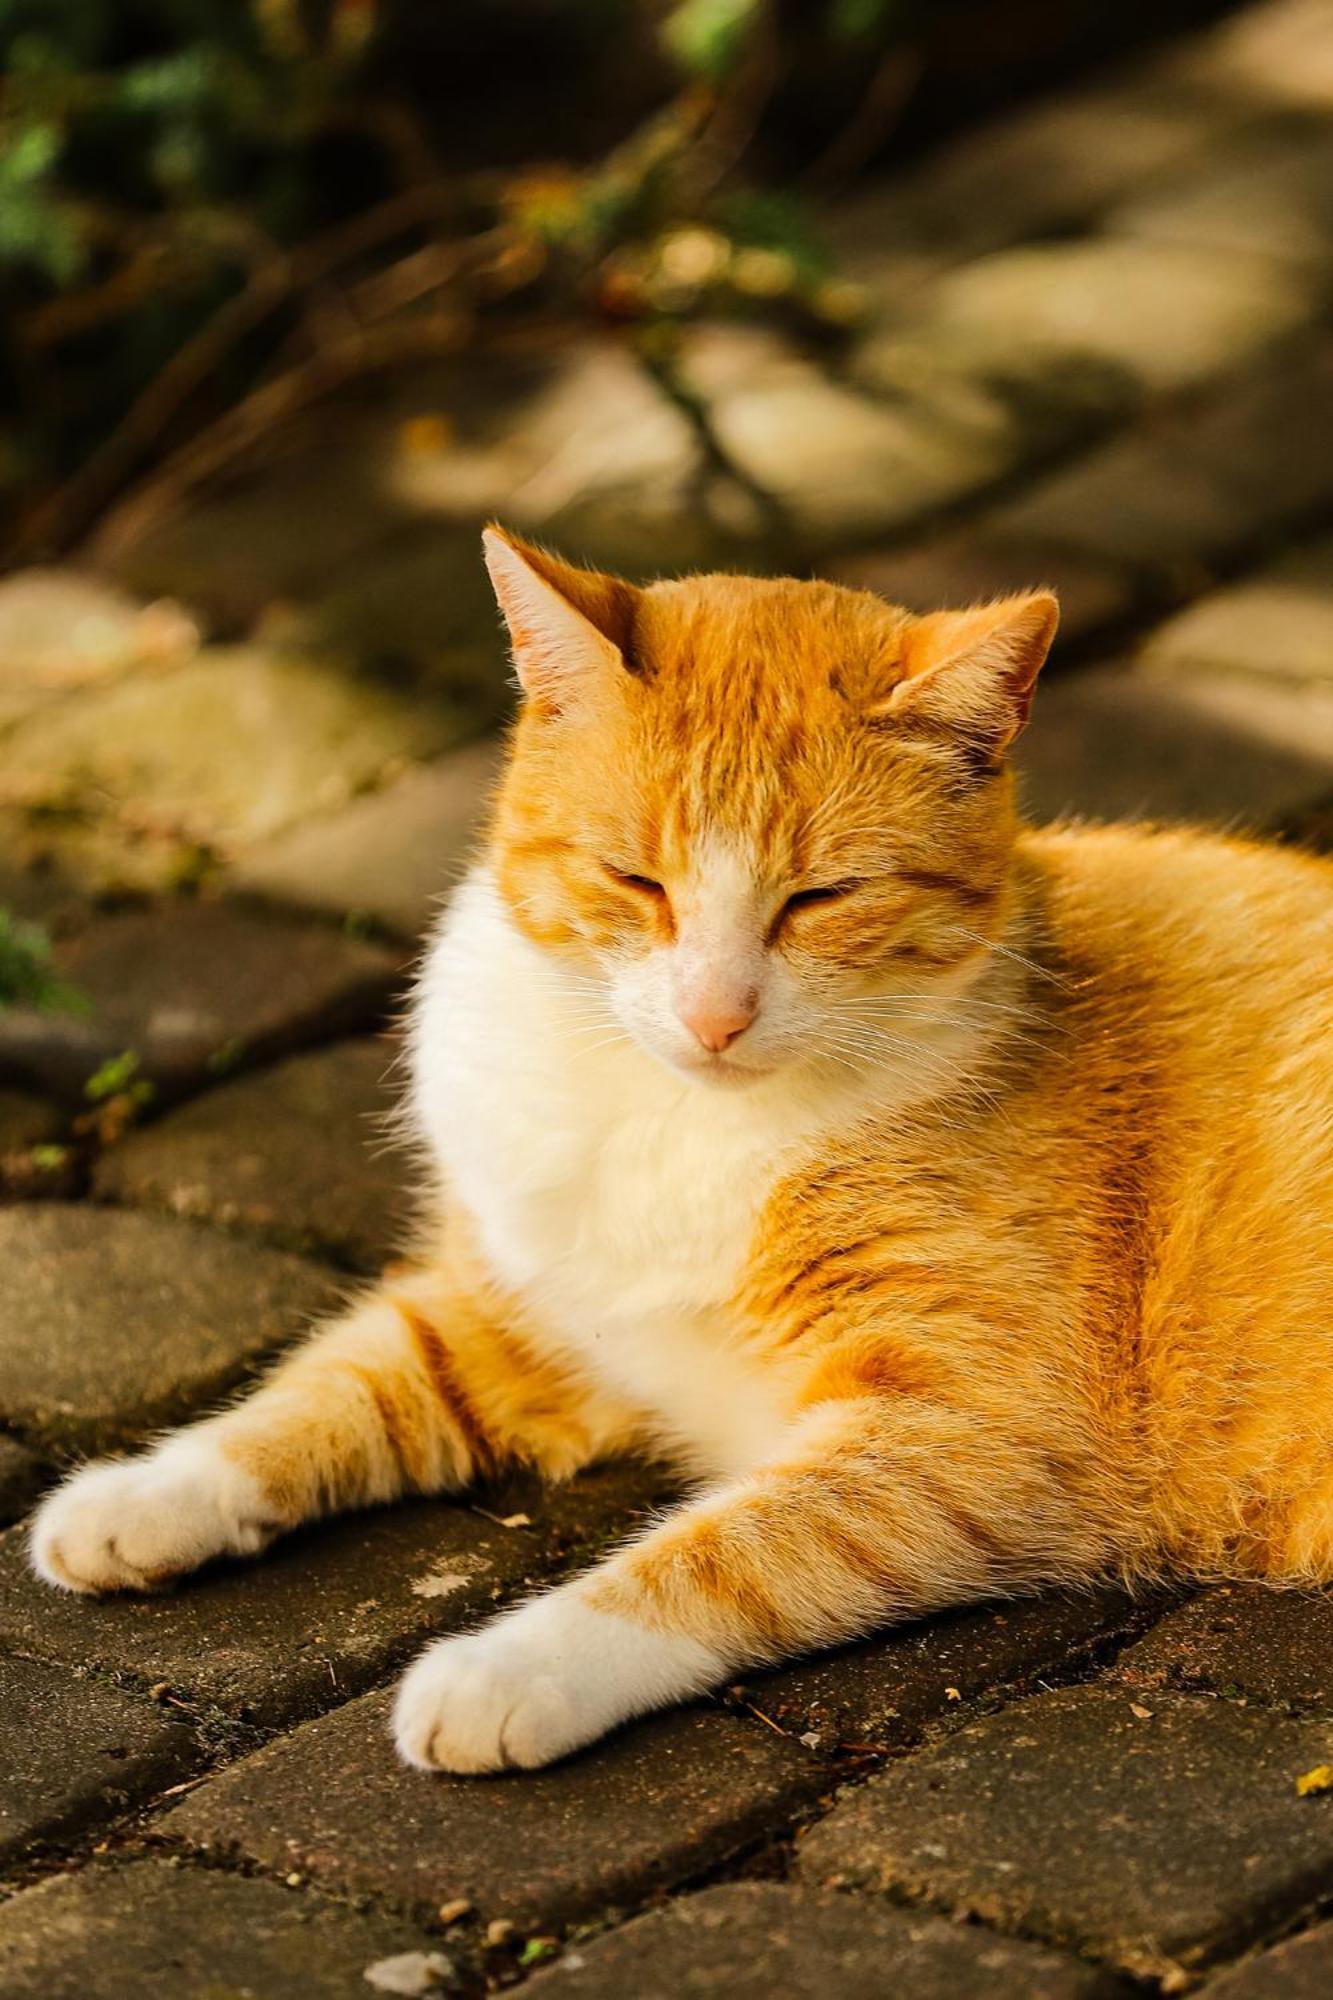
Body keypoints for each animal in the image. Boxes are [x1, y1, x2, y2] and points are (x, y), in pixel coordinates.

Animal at [26, 532, 1328, 1784]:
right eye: (635, 878)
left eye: (820, 897)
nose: (715, 1014)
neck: (678, 1117)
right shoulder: (516, 1312)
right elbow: (324, 1388)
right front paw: (141, 1494)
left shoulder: (977, 1435)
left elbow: (719, 1554)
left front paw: (505, 1670)